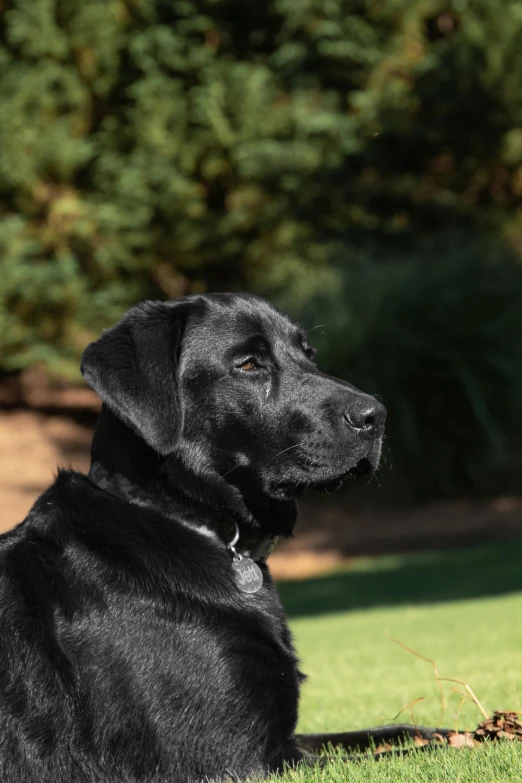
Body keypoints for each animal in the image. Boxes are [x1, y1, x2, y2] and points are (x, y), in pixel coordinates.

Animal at [0, 296, 446, 783]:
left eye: (309, 354)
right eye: (249, 364)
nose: (376, 416)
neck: (184, 518)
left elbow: (400, 734)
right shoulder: (240, 760)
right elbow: (400, 753)